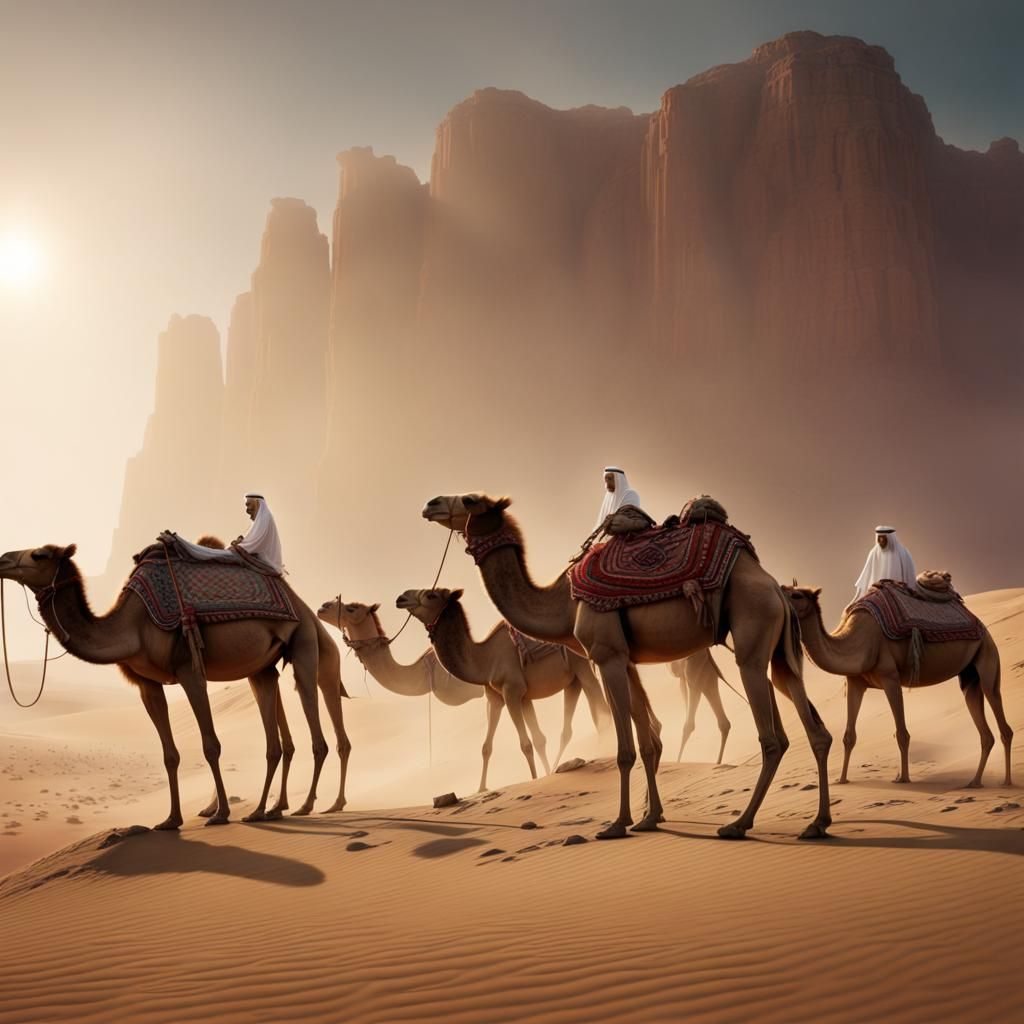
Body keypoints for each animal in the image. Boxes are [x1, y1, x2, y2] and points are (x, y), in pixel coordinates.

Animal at [0, 544, 351, 828]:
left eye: (39, 554)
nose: (3, 558)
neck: (132, 625)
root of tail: (300, 603)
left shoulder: (188, 669)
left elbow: (211, 745)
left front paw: (221, 814)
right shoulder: (147, 683)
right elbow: (169, 754)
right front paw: (171, 819)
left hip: (304, 640)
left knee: (316, 725)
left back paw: (303, 806)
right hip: (262, 667)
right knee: (277, 742)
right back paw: (267, 810)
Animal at [319, 596, 611, 791]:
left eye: (350, 608)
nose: (322, 607)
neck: (425, 672)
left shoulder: (484, 693)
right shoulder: (508, 694)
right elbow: (527, 739)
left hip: (582, 666)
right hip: (572, 676)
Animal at [422, 493, 832, 840]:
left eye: (469, 500)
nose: (431, 503)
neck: (565, 602)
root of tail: (777, 589)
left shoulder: (606, 657)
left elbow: (625, 748)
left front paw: (617, 823)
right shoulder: (628, 659)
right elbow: (649, 742)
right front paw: (650, 818)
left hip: (751, 637)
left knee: (771, 738)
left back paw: (738, 824)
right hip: (779, 656)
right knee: (810, 727)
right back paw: (816, 823)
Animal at [783, 585, 1012, 787]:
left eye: (796, 595)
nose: (780, 599)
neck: (859, 642)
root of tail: (984, 629)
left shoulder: (890, 678)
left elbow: (902, 733)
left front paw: (903, 778)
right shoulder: (855, 682)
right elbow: (849, 736)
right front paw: (841, 779)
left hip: (987, 654)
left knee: (999, 712)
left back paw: (1006, 781)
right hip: (969, 675)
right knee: (982, 725)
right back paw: (975, 781)